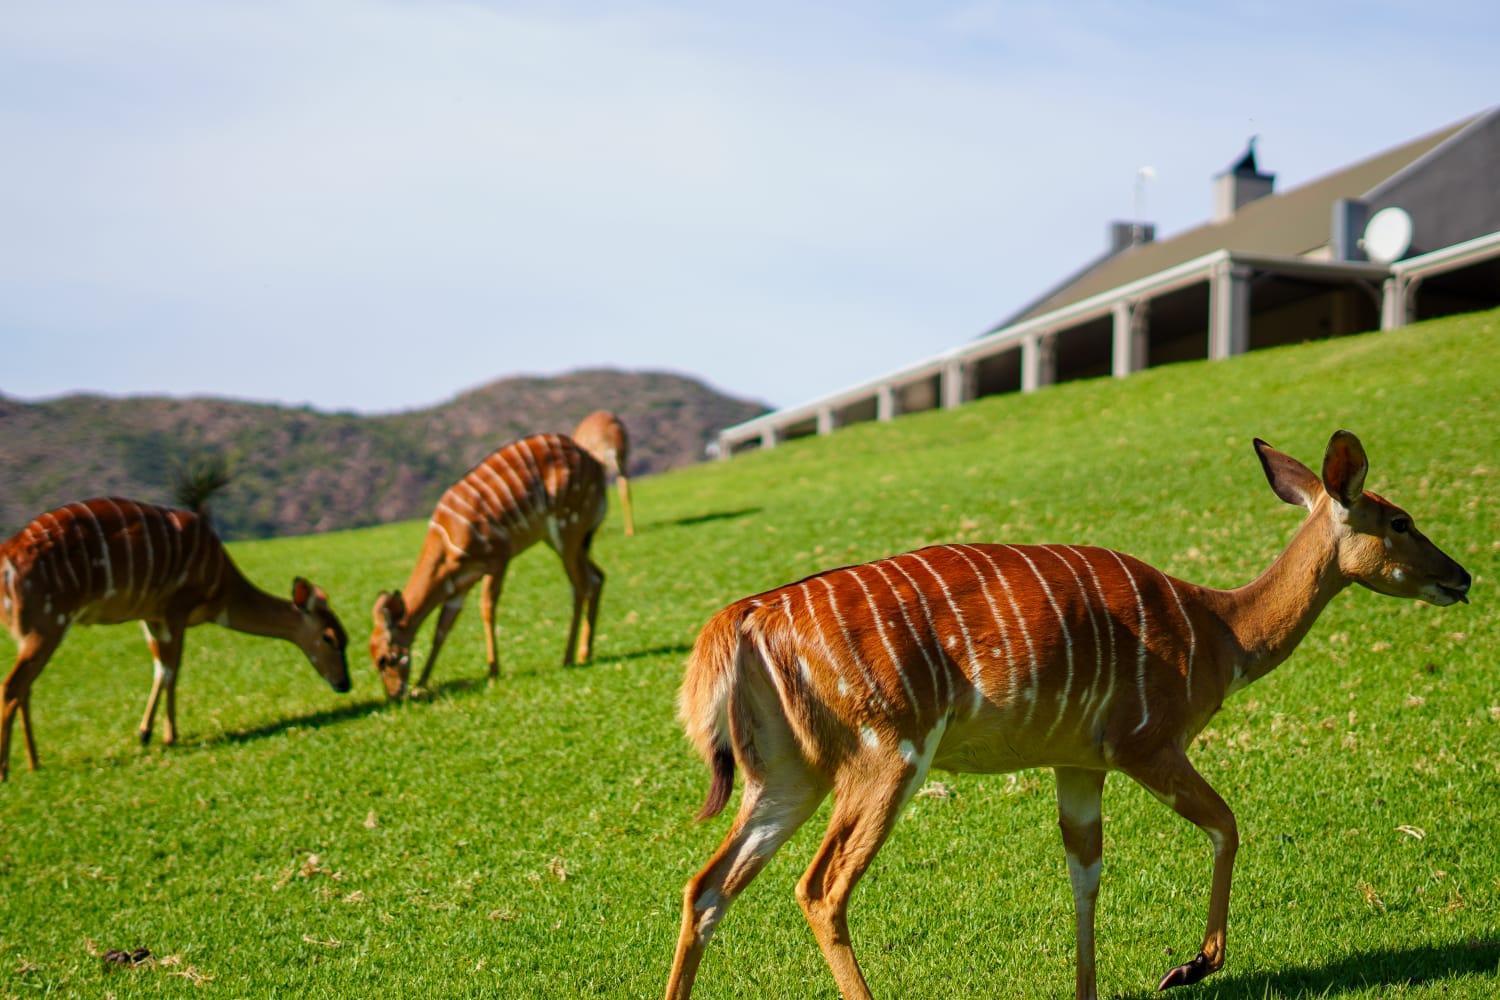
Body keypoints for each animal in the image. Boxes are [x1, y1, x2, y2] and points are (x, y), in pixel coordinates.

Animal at [0, 497, 352, 779]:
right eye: (330, 637)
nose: (344, 683)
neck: (223, 589)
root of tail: (7, 558)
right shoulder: (175, 608)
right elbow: (172, 669)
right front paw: (169, 735)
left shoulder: (150, 616)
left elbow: (160, 667)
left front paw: (145, 733)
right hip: (48, 625)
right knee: (13, 685)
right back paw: (6, 770)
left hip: (31, 632)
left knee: (25, 689)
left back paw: (34, 762)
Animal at [367, 434, 603, 701]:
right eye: (375, 660)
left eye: (386, 659)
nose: (394, 694)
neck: (447, 539)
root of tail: (594, 463)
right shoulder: (458, 587)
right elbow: (442, 629)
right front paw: (421, 683)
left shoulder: (498, 559)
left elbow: (487, 609)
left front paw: (492, 671)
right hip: (563, 540)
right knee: (596, 577)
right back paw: (584, 653)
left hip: (567, 529)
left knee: (580, 585)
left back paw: (569, 657)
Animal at [666, 431, 1464, 1000]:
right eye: (1400, 521)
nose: (1462, 577)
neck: (1220, 630)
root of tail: (747, 615)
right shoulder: (1147, 744)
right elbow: (1226, 824)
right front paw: (1190, 965)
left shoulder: (1078, 763)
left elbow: (1086, 871)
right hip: (886, 756)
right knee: (821, 889)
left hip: (787, 777)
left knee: (707, 886)